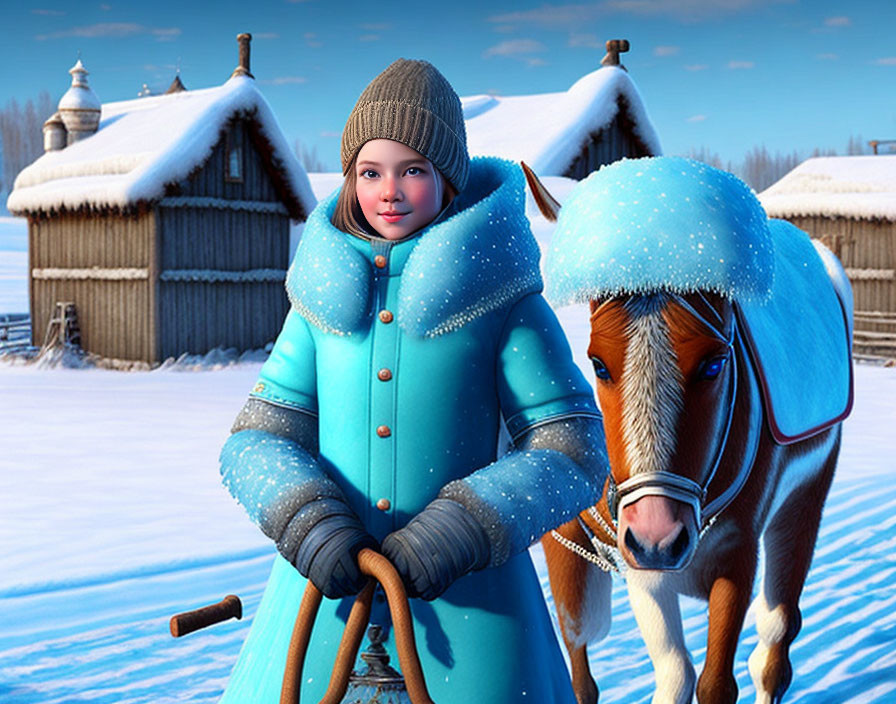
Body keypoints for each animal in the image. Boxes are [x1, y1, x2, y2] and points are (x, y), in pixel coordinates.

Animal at [524, 160, 856, 704]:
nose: (658, 535)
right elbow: (664, 674)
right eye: (598, 363)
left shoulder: (735, 555)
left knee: (776, 638)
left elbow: (717, 682)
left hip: (805, 497)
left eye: (715, 363)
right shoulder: (624, 556)